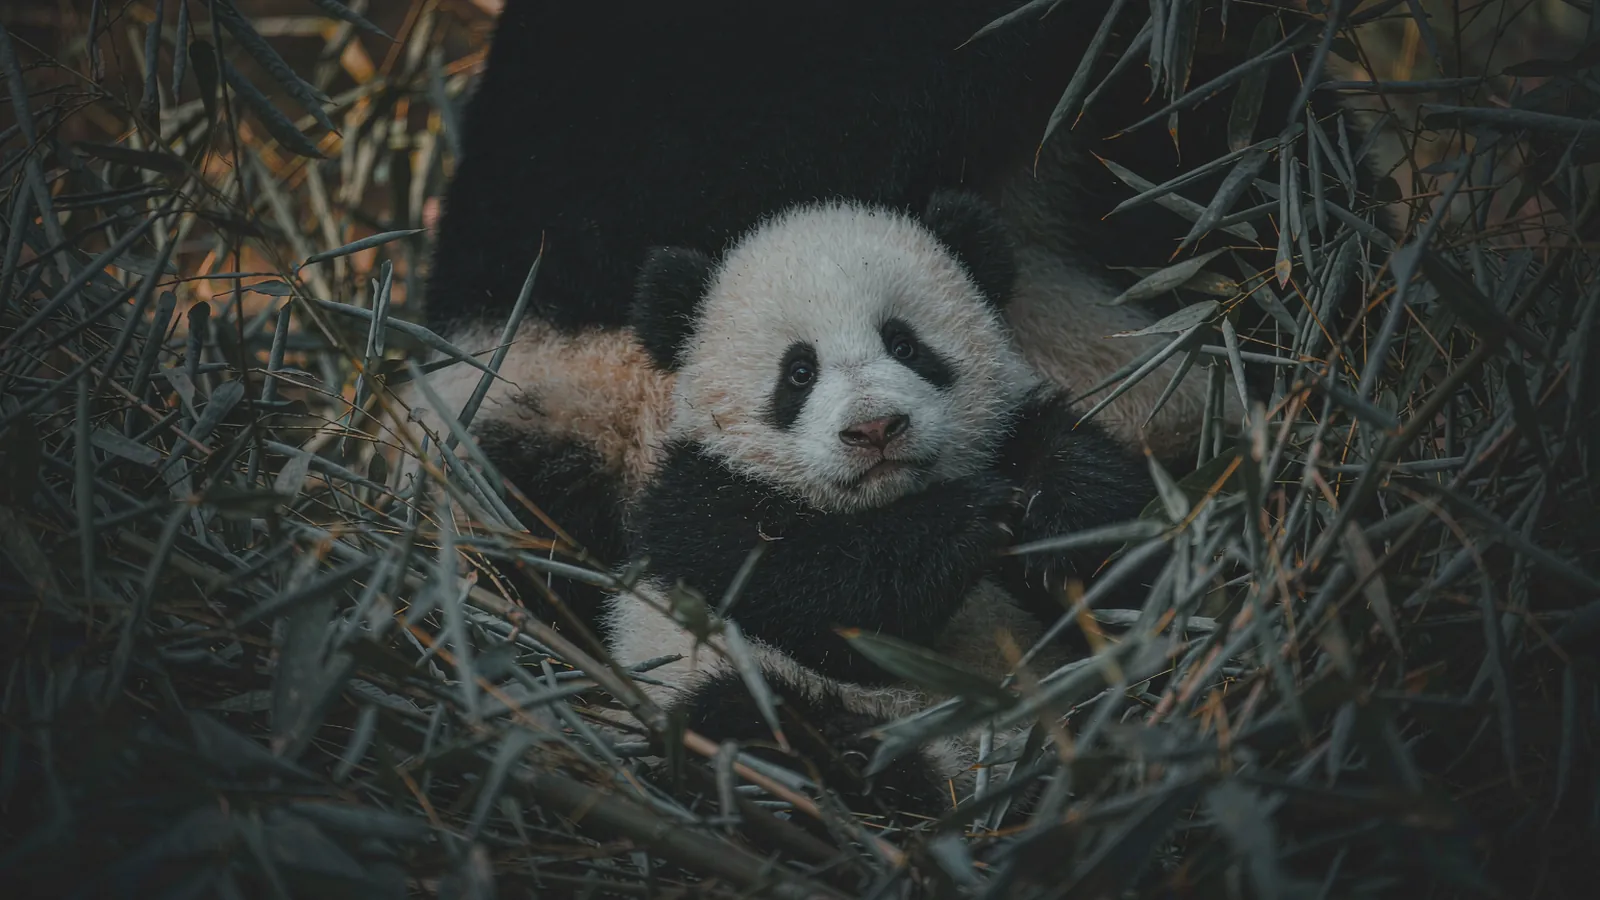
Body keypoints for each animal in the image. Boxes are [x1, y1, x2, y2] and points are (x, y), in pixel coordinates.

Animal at [599, 191, 1155, 817]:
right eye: (799, 372)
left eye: (904, 344)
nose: (875, 428)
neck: (887, 499)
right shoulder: (700, 497)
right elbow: (805, 592)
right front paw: (965, 521)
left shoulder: (1015, 428)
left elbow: (1117, 519)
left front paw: (1056, 518)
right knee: (736, 718)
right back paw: (867, 759)